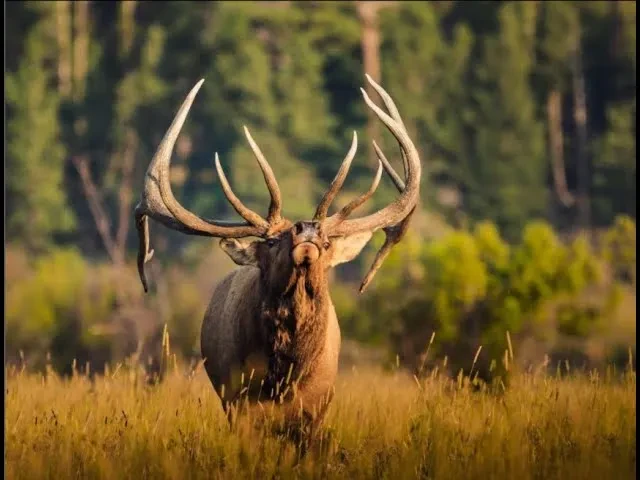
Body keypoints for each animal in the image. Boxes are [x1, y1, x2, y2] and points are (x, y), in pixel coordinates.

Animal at [133, 75, 421, 437]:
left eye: (327, 243)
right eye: (271, 241)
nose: (307, 229)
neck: (282, 378)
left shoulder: (317, 408)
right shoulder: (238, 402)